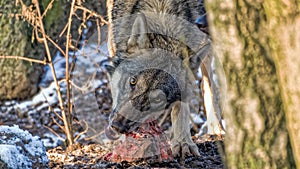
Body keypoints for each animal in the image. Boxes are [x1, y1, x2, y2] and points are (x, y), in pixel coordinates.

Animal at [104, 0, 224, 158]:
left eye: (157, 99)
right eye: (132, 82)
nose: (118, 126)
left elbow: (181, 109)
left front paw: (183, 142)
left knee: (208, 85)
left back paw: (216, 127)